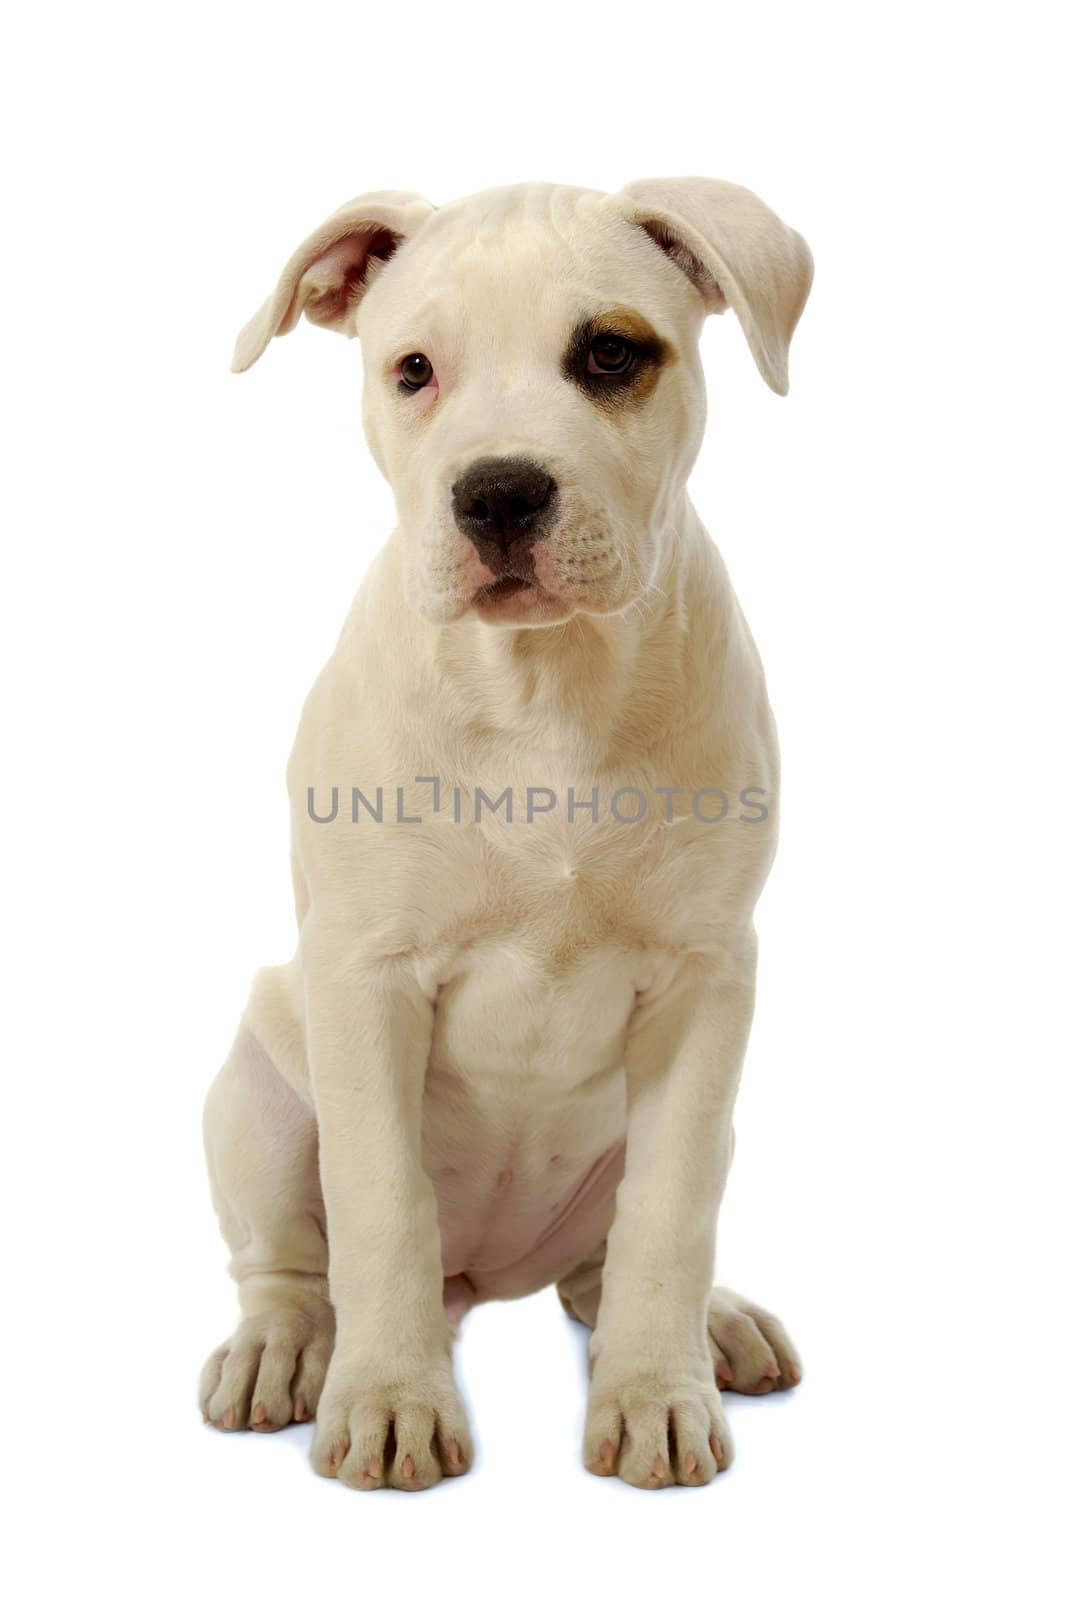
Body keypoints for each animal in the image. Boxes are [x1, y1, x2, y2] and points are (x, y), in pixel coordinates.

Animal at [204, 175, 812, 1484]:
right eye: (413, 370)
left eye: (610, 353)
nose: (495, 492)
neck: (546, 687)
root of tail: (486, 1275)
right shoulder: (365, 975)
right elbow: (380, 1204)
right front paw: (387, 1402)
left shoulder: (705, 982)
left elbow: (669, 1213)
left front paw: (654, 1395)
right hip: (259, 1090)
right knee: (292, 1260)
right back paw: (290, 1348)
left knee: (609, 1253)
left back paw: (709, 1325)